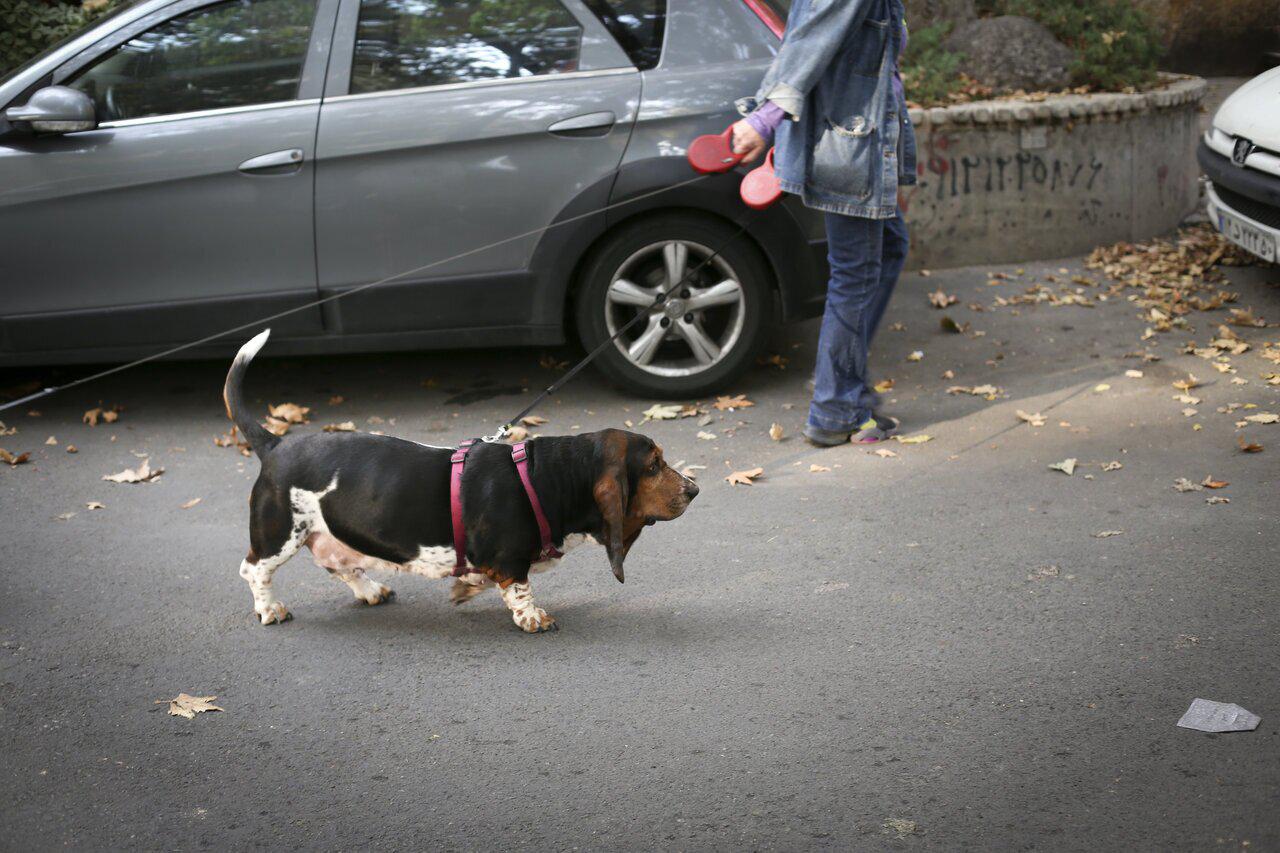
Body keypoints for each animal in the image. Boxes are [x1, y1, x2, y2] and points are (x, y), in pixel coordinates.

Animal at [221, 327, 701, 627]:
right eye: (654, 464)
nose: (694, 490)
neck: (549, 476)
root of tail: (275, 444)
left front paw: (467, 587)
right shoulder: (512, 562)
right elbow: (520, 588)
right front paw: (533, 618)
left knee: (338, 563)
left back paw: (372, 590)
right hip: (280, 533)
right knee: (253, 569)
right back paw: (270, 610)